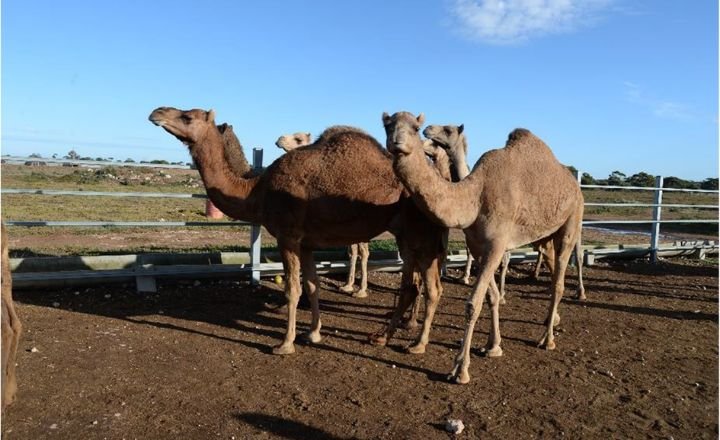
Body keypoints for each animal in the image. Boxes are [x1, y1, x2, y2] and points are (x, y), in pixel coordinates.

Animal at [276, 129, 372, 298]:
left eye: (299, 139)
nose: (279, 139)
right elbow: (352, 252)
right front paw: (348, 286)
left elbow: (363, 252)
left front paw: (361, 291)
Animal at [382, 111, 584, 384]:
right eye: (387, 125)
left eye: (415, 127)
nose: (397, 142)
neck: (475, 196)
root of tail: (575, 184)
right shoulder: (479, 248)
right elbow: (491, 297)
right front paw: (492, 346)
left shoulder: (497, 245)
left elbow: (472, 304)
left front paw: (460, 369)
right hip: (546, 234)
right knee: (553, 269)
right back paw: (549, 324)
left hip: (571, 221)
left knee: (560, 280)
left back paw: (547, 339)